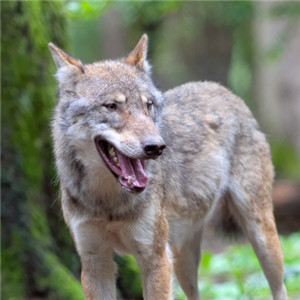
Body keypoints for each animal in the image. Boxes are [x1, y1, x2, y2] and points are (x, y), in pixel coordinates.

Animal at [49, 34, 288, 298]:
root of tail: (221, 89)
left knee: (280, 287)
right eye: (112, 106)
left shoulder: (155, 259)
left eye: (148, 105)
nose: (156, 146)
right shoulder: (94, 262)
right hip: (182, 258)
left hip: (262, 238)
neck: (108, 203)